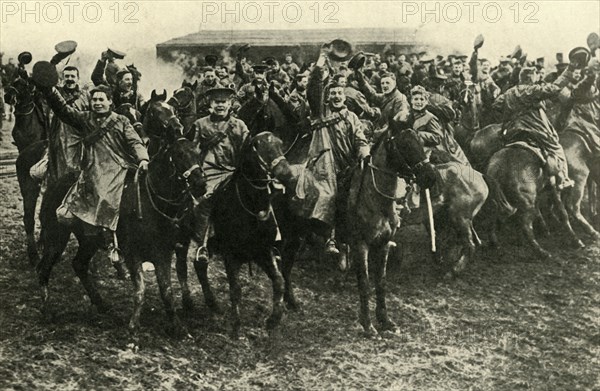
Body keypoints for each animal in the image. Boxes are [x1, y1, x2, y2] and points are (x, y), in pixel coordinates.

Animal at [38, 96, 206, 338]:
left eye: (198, 153)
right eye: (180, 155)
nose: (200, 184)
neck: (151, 201)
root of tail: (55, 183)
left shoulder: (164, 252)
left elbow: (166, 290)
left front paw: (177, 326)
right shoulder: (132, 252)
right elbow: (141, 290)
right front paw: (134, 326)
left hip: (88, 240)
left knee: (79, 264)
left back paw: (101, 304)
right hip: (55, 237)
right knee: (43, 268)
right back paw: (46, 310)